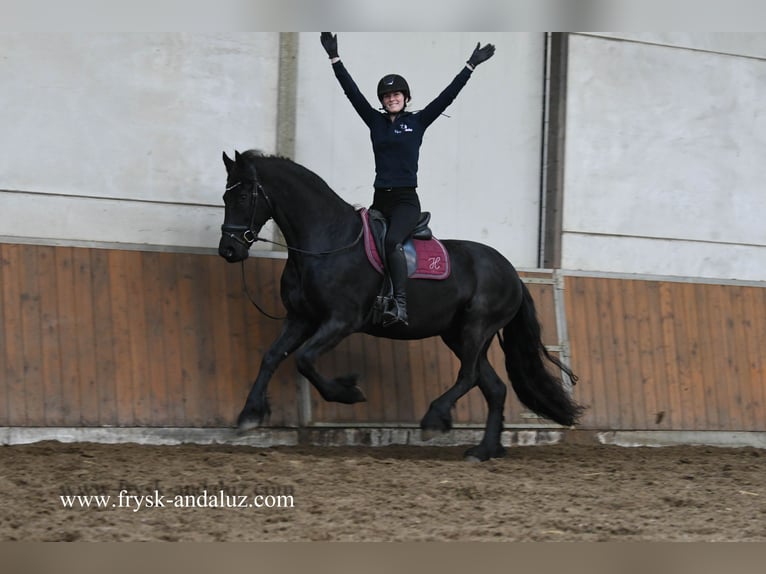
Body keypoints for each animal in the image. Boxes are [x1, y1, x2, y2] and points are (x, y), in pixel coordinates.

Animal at [217, 149, 584, 461]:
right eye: (224, 197)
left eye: (243, 197)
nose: (229, 250)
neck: (328, 242)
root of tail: (512, 273)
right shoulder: (300, 319)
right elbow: (272, 357)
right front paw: (249, 415)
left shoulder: (341, 320)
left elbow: (305, 360)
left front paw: (349, 391)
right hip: (457, 334)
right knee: (493, 387)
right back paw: (484, 450)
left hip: (476, 328)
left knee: (467, 376)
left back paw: (435, 420)